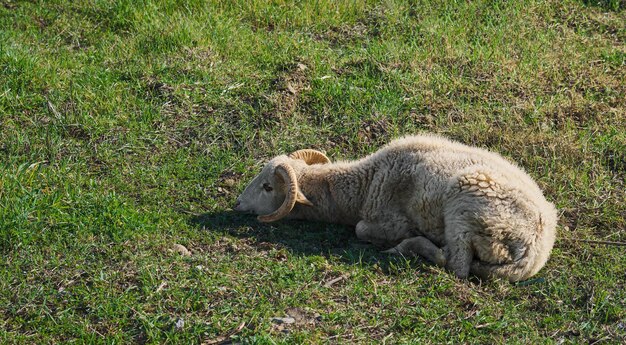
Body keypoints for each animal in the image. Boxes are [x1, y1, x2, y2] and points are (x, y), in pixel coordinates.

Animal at [234, 133, 556, 280]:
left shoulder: (391, 220)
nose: (237, 203)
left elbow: (361, 229)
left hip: (465, 207)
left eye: (268, 187)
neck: (363, 186)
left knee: (455, 265)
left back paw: (408, 247)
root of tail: (535, 251)